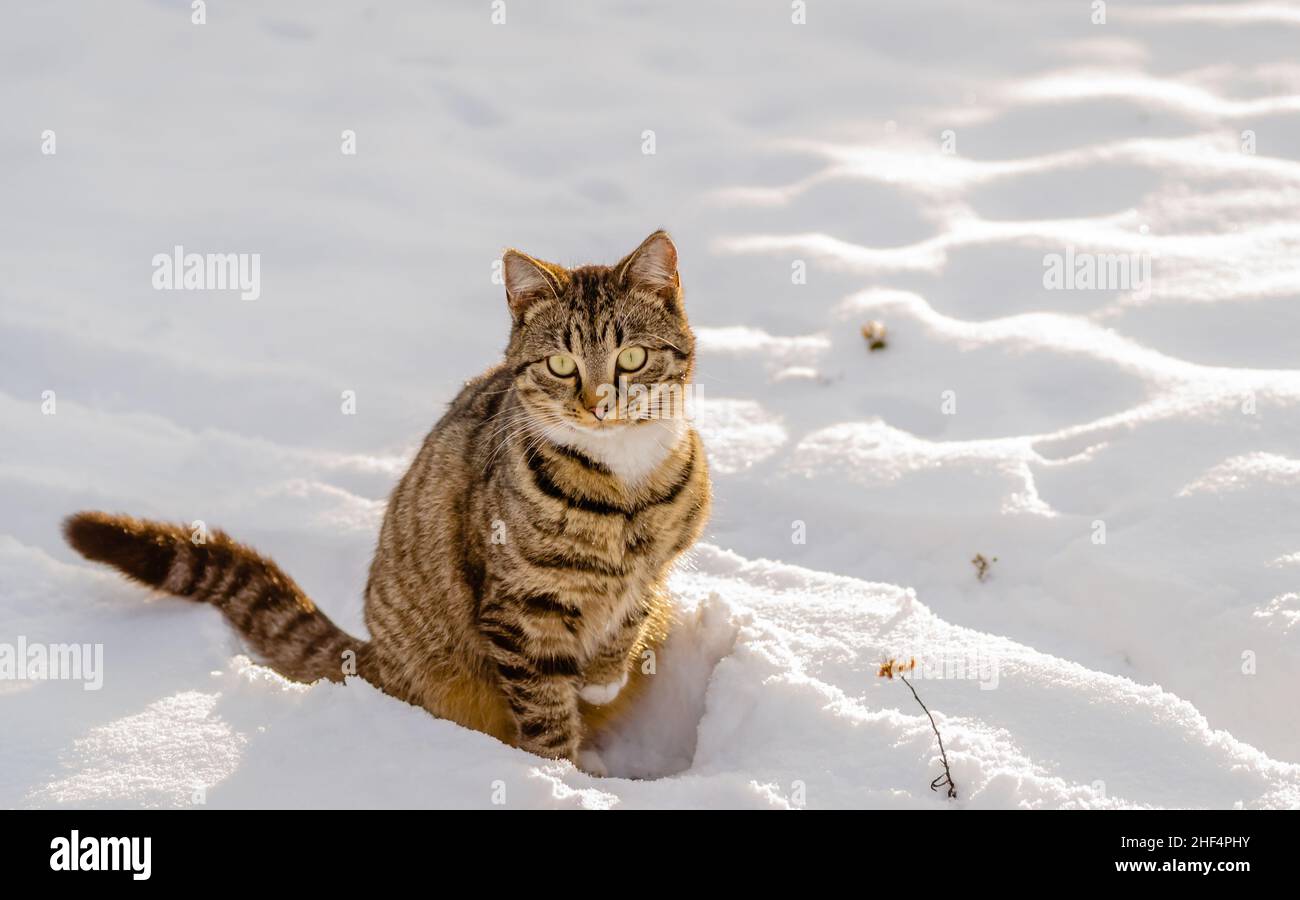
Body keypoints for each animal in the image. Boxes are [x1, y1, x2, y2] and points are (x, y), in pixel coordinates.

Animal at [62, 230, 712, 775]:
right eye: (560, 364)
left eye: (632, 358)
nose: (600, 404)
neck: (624, 487)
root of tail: (376, 654)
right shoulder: (520, 610)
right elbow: (546, 710)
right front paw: (559, 779)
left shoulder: (657, 568)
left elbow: (629, 616)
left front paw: (603, 676)